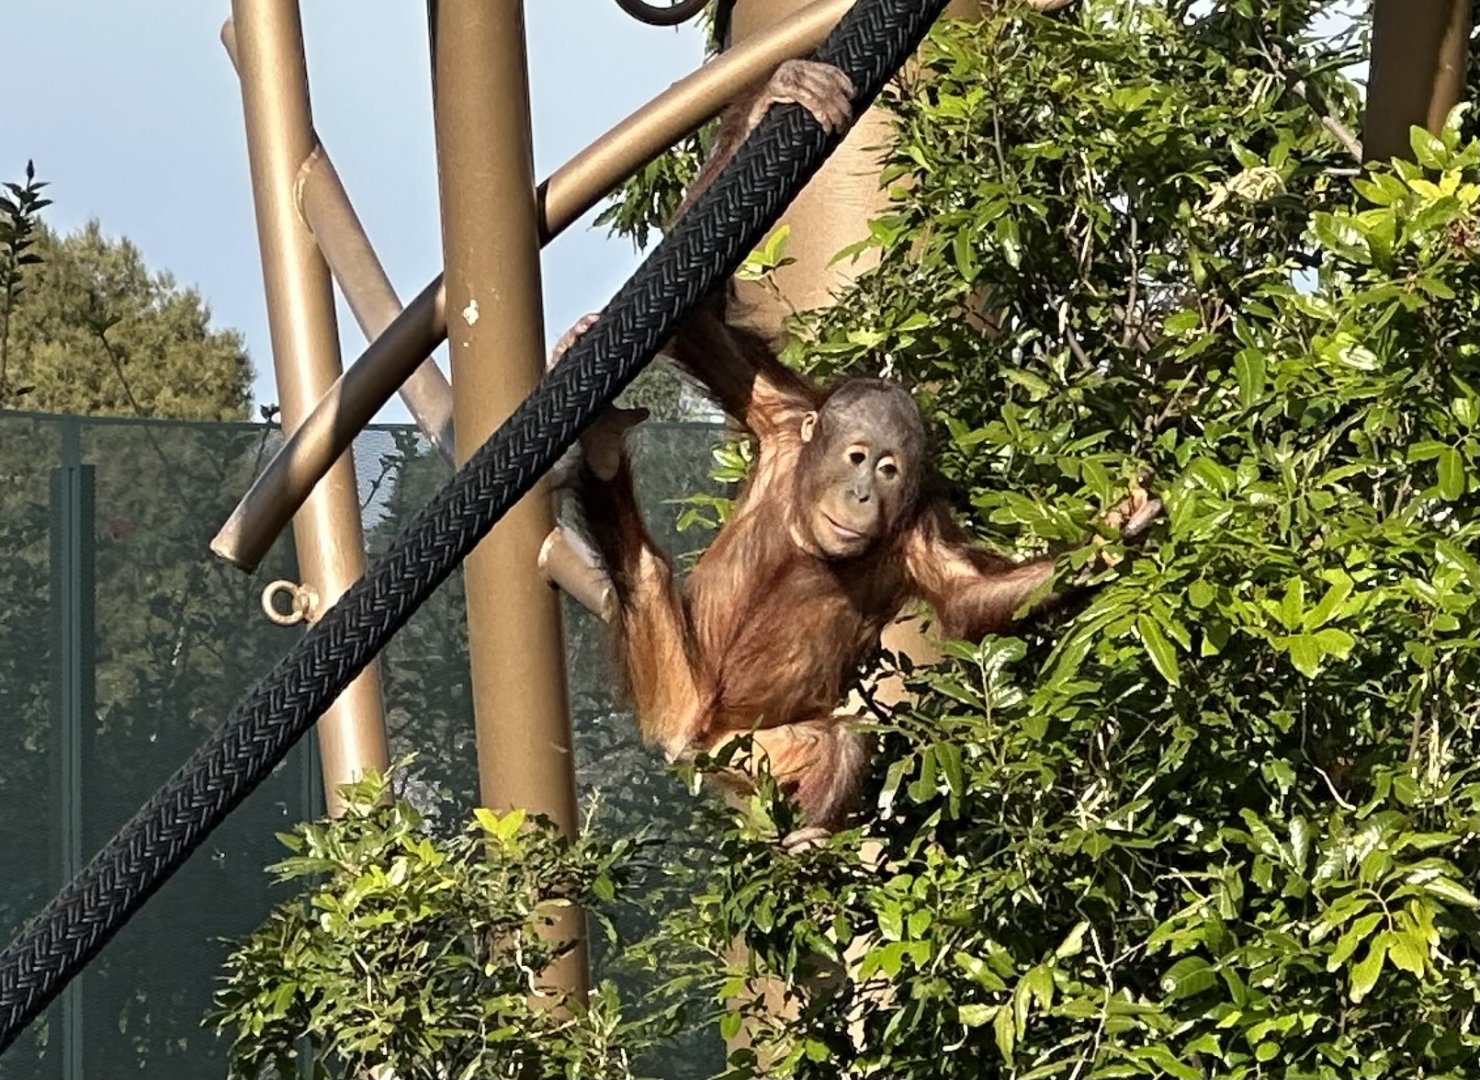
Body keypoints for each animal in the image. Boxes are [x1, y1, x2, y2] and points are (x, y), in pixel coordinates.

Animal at [552, 59, 1160, 846]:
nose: (863, 493)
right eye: (855, 457)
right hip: (673, 688)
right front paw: (782, 94)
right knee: (647, 577)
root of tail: (693, 738)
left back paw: (806, 837)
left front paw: (1114, 534)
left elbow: (967, 594)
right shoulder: (783, 414)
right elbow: (699, 321)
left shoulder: (918, 529)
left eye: (890, 470)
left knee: (837, 741)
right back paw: (599, 448)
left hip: (747, 756)